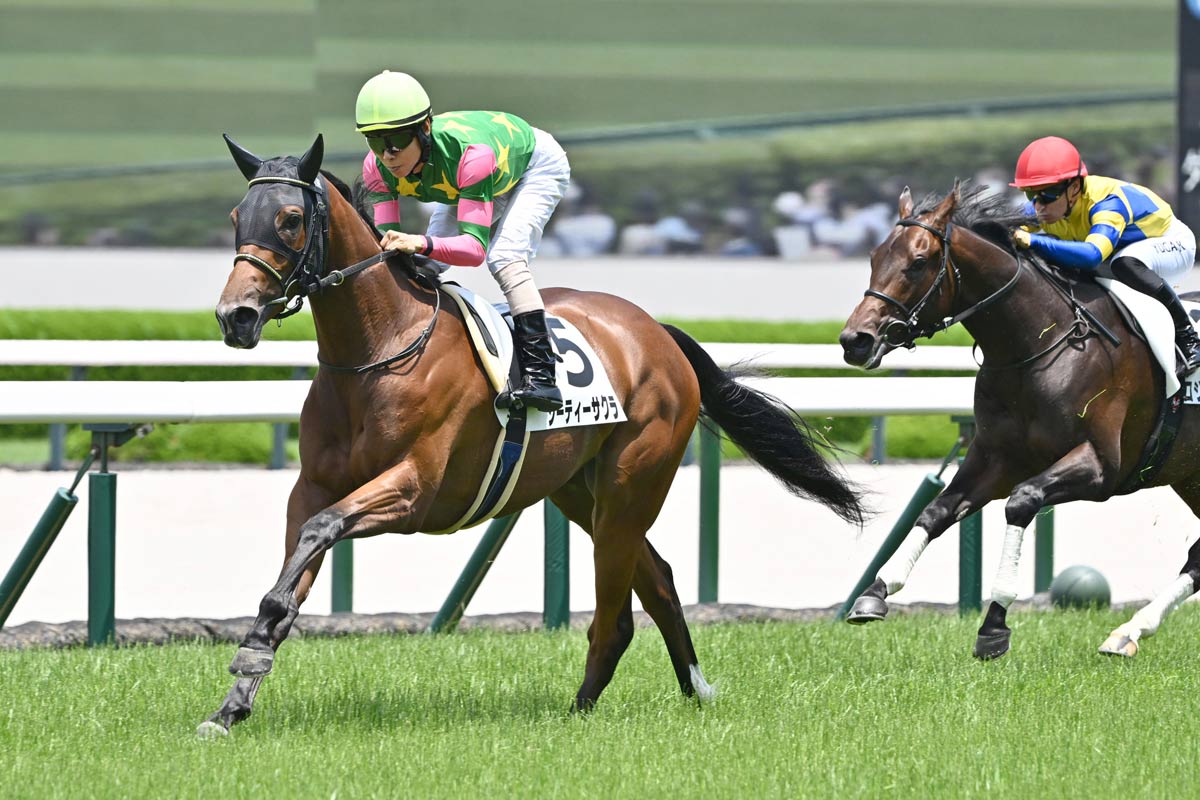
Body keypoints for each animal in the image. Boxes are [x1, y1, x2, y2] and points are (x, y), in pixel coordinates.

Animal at [198, 134, 866, 736]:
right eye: (235, 217)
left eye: (289, 219)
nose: (236, 317)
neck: (379, 349)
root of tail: (655, 330)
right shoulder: (311, 488)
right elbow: (292, 577)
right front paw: (232, 703)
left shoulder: (412, 490)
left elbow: (319, 536)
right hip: (576, 490)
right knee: (658, 580)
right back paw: (693, 690)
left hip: (631, 485)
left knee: (616, 612)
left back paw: (582, 711)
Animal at [839, 183, 1200, 661]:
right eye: (875, 256)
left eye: (918, 262)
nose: (855, 341)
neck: (1041, 342)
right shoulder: (996, 458)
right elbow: (936, 510)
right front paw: (875, 591)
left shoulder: (1101, 466)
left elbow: (1022, 501)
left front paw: (994, 623)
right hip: (1191, 475)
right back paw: (1127, 632)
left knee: (1132, 263)